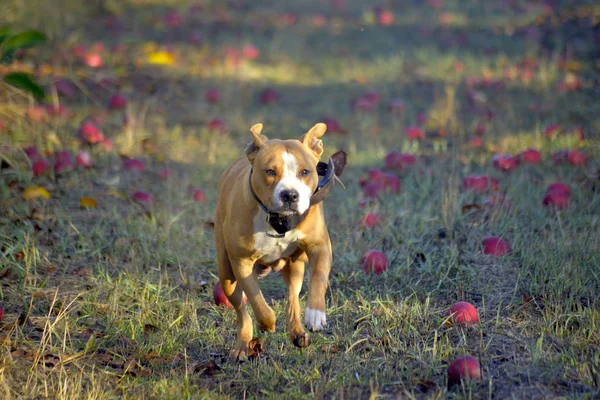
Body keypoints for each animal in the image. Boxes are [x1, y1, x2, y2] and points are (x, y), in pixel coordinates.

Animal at [214, 122, 338, 360]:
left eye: (305, 172)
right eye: (270, 172)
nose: (290, 195)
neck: (278, 221)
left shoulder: (319, 246)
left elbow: (318, 277)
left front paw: (315, 314)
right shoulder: (241, 261)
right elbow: (256, 300)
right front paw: (268, 323)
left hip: (295, 267)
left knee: (292, 297)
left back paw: (297, 332)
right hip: (226, 275)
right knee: (241, 311)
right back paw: (243, 345)